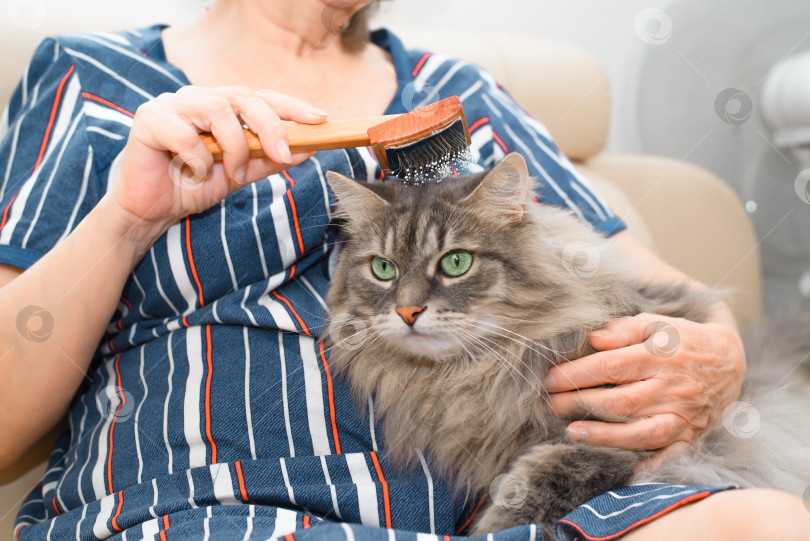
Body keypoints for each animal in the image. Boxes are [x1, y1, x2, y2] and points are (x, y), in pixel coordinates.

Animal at [318, 151, 808, 536]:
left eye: (456, 263)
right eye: (383, 269)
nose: (407, 311)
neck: (474, 372)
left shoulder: (608, 439)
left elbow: (532, 488)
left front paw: (495, 527)